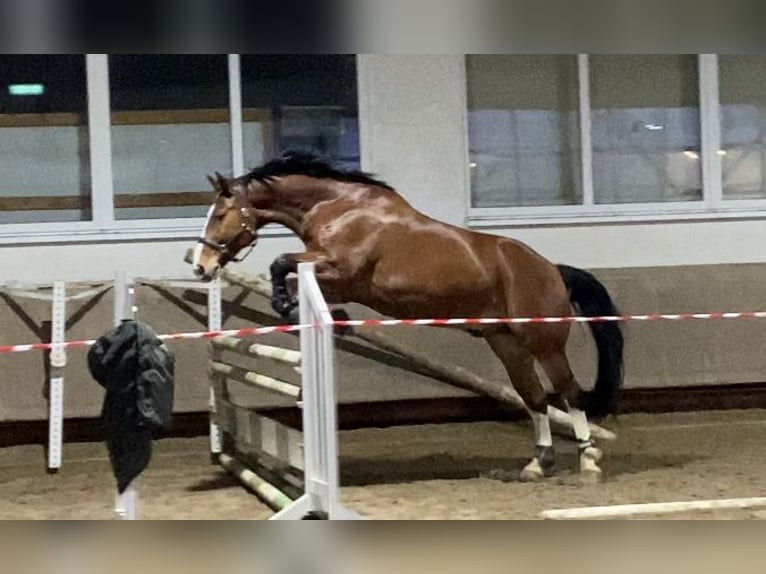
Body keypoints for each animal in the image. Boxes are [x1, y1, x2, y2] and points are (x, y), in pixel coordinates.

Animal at [192, 154, 624, 486]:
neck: (338, 210)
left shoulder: (339, 269)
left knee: (569, 393)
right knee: (534, 397)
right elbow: (296, 278)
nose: (201, 266)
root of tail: (552, 269)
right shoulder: (335, 281)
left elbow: (281, 263)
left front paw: (287, 304)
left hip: (544, 342)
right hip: (506, 343)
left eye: (220, 214)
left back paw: (588, 460)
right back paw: (538, 464)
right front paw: (311, 313)